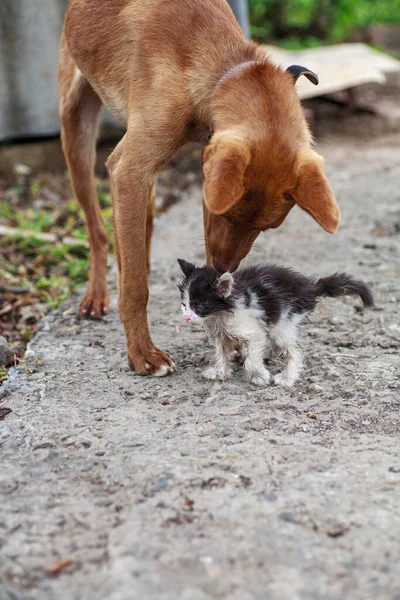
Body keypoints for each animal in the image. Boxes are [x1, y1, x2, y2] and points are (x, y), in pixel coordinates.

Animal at [59, 0, 340, 376]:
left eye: (266, 228)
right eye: (228, 216)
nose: (224, 266)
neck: (218, 64)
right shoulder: (129, 170)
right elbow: (134, 289)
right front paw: (141, 353)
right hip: (75, 131)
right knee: (97, 230)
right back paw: (97, 293)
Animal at [177, 258, 374, 390]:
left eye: (200, 306)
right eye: (184, 305)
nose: (187, 318)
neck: (219, 316)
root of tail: (311, 288)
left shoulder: (254, 333)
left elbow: (252, 359)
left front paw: (260, 376)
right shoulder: (220, 335)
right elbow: (221, 353)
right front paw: (220, 372)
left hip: (282, 323)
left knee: (295, 349)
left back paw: (287, 378)